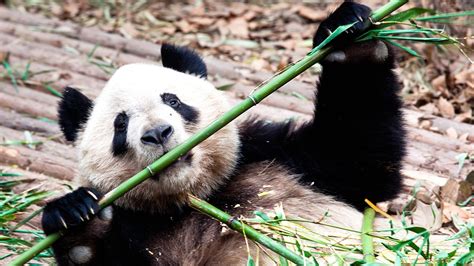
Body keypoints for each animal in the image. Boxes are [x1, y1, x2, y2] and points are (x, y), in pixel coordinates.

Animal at [41, 2, 404, 266]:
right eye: (120, 125)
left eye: (173, 100)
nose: (158, 133)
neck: (194, 199)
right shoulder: (137, 226)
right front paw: (77, 220)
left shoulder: (275, 156)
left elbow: (358, 160)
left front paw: (349, 38)